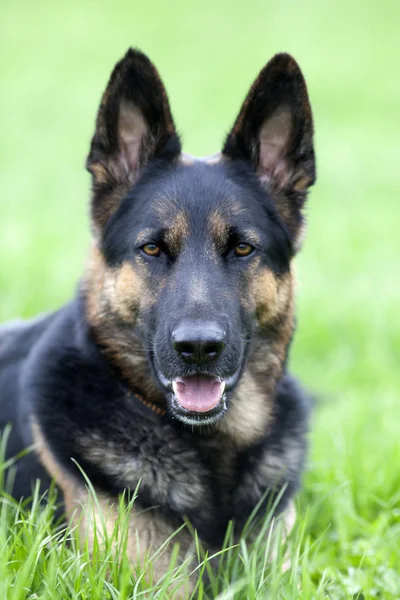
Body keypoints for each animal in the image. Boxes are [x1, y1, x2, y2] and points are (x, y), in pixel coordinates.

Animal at [0, 48, 316, 592]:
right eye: (151, 248)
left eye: (242, 248)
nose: (199, 349)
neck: (212, 449)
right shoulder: (146, 579)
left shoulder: (276, 568)